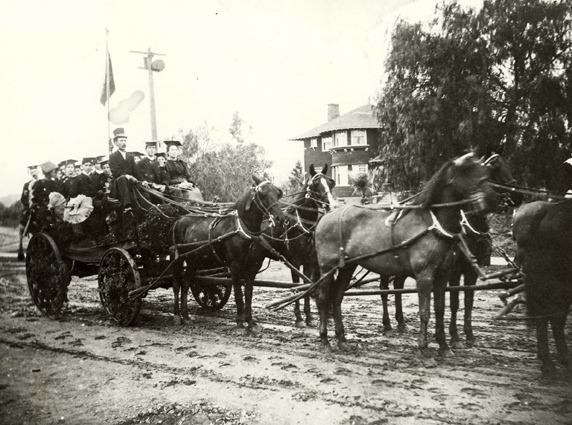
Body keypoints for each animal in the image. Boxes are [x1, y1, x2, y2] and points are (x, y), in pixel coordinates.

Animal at [170, 176, 286, 328]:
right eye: (262, 193)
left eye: (278, 193)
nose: (279, 218)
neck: (242, 229)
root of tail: (179, 220)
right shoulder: (235, 266)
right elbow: (238, 294)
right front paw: (240, 323)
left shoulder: (252, 268)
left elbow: (248, 294)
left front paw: (250, 322)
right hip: (179, 259)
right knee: (177, 284)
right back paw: (177, 316)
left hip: (193, 260)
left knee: (186, 282)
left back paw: (186, 316)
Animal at [312, 153, 496, 364]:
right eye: (467, 171)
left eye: (485, 170)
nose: (492, 198)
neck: (432, 224)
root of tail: (326, 216)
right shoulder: (424, 275)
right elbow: (425, 312)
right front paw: (424, 349)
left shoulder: (443, 274)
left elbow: (440, 309)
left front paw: (444, 346)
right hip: (328, 268)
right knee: (323, 298)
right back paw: (325, 341)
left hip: (347, 267)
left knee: (336, 297)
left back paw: (342, 340)